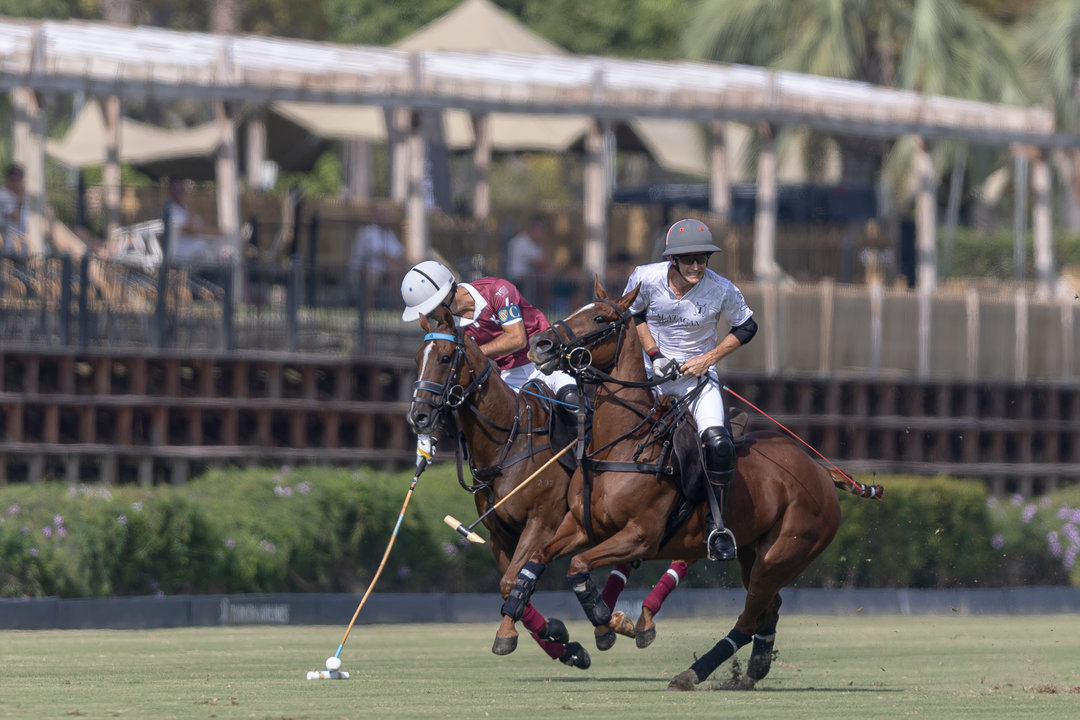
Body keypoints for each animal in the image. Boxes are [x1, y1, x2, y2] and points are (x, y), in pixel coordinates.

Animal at [406, 304, 630, 669]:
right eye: (416, 359)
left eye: (444, 357)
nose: (419, 417)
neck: (507, 444)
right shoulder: (499, 532)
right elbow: (509, 586)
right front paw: (564, 642)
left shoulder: (542, 522)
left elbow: (512, 580)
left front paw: (515, 635)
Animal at [496, 278, 885, 690]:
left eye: (600, 318)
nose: (541, 344)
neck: (625, 443)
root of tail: (820, 471)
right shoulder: (581, 526)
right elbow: (537, 559)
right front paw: (522, 611)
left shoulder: (641, 535)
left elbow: (578, 566)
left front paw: (608, 619)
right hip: (754, 552)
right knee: (768, 609)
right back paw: (754, 668)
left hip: (785, 554)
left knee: (750, 616)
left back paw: (693, 673)